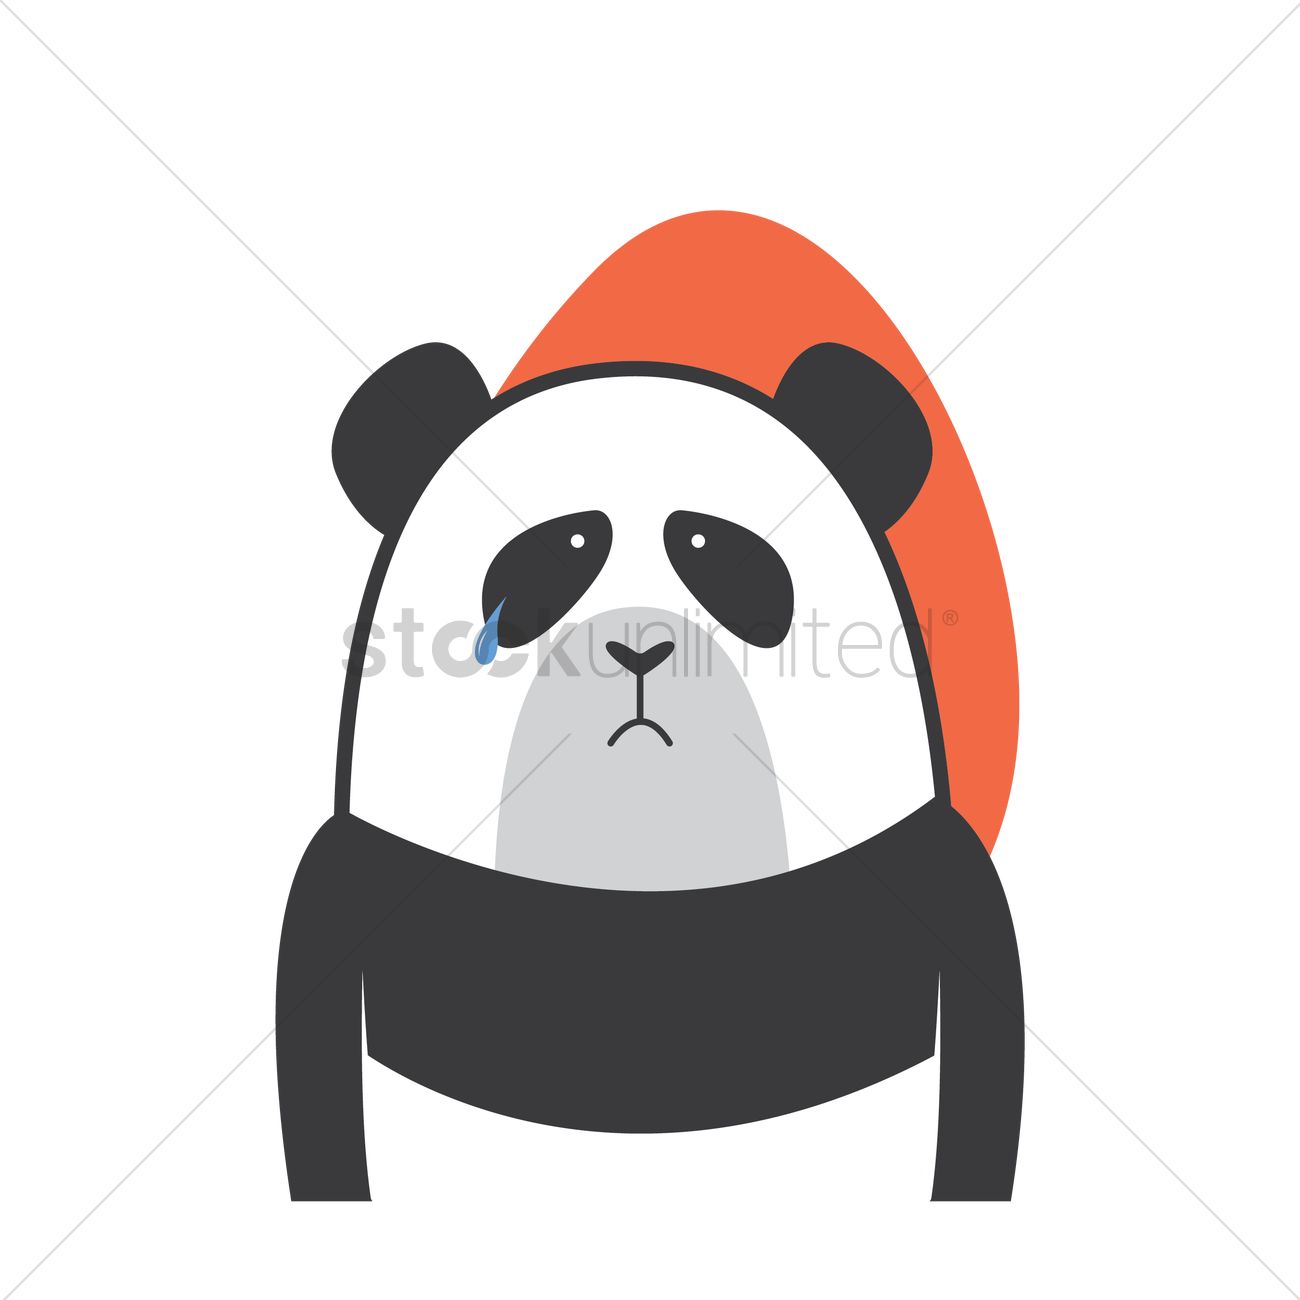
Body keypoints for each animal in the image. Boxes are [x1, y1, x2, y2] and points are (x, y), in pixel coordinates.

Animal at [276, 341, 1024, 1201]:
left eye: (714, 551)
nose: (639, 647)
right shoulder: (372, 873)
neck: (643, 865)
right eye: (559, 553)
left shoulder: (913, 866)